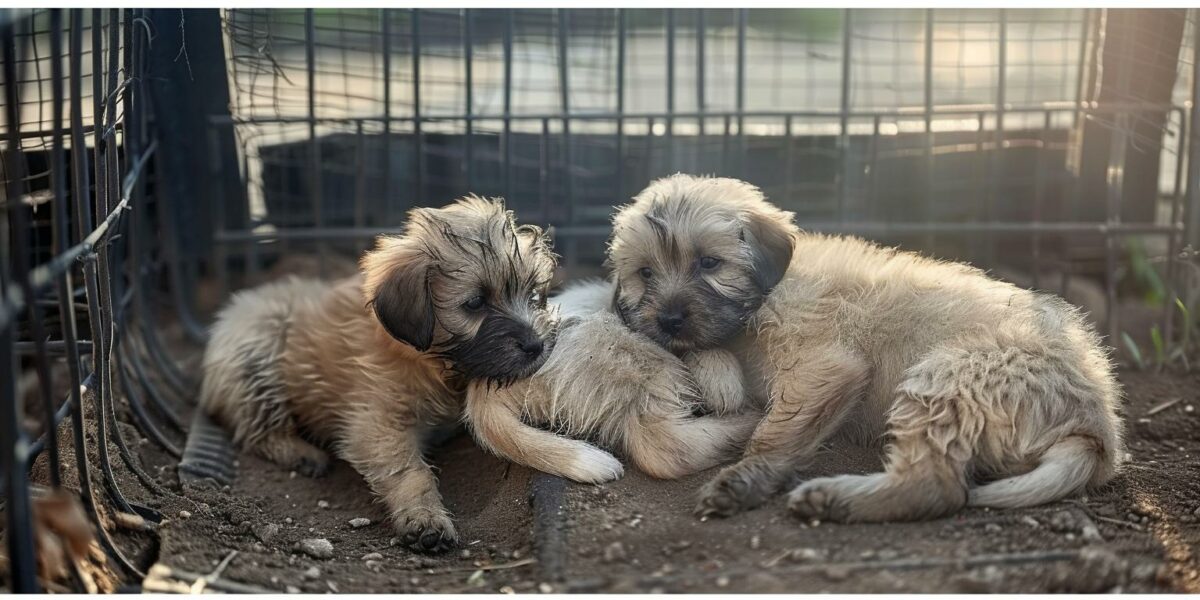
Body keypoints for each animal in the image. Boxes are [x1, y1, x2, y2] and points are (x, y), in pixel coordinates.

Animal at [200, 196, 556, 552]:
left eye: (533, 294)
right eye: (475, 303)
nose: (536, 345)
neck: (429, 363)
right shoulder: (377, 424)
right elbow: (410, 472)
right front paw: (425, 517)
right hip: (257, 358)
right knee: (254, 430)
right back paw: (300, 453)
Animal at [609, 175, 1123, 525]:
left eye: (709, 263)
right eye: (645, 273)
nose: (670, 319)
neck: (769, 293)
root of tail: (1095, 424)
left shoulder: (825, 369)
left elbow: (773, 435)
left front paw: (743, 480)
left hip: (946, 379)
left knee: (933, 487)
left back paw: (833, 498)